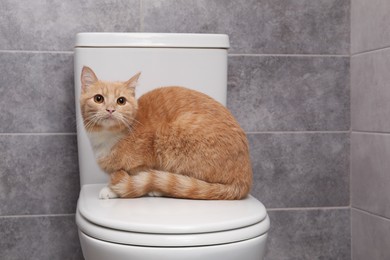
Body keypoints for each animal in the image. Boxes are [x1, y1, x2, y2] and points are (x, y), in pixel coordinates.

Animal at [79, 66, 253, 200]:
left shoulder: (144, 164)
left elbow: (134, 179)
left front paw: (112, 189)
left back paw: (159, 190)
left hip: (173, 134)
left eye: (121, 101)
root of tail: (245, 178)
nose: (110, 109)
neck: (108, 137)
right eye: (99, 98)